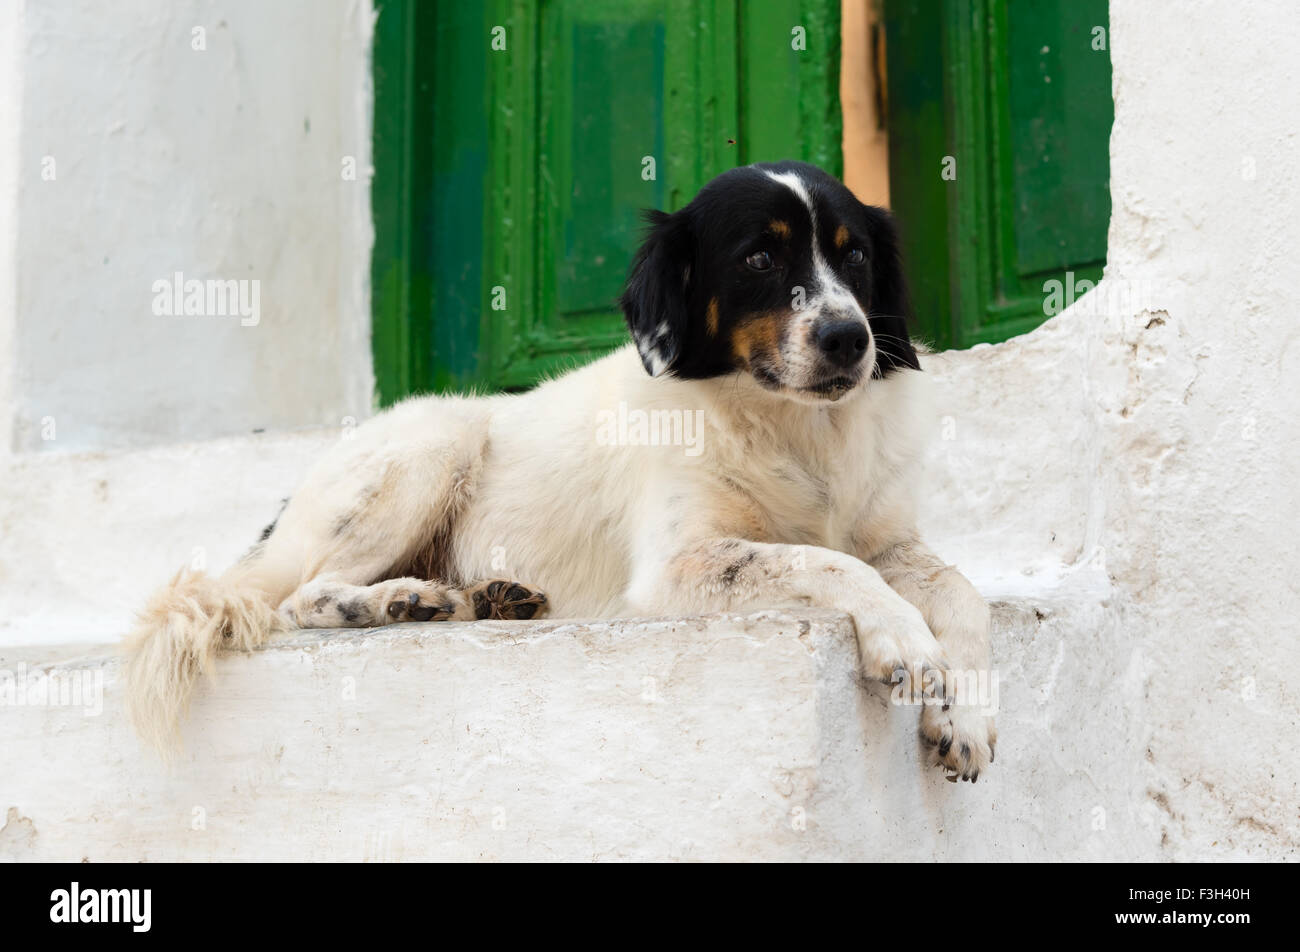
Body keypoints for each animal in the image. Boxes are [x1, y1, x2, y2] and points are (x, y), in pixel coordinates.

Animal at [124, 158, 993, 780]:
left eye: (855, 255)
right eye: (757, 258)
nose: (851, 338)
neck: (795, 431)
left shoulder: (889, 538)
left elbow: (960, 589)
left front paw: (969, 712)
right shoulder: (677, 568)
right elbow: (831, 565)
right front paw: (908, 642)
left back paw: (482, 598)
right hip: (437, 440)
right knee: (299, 598)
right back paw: (402, 600)